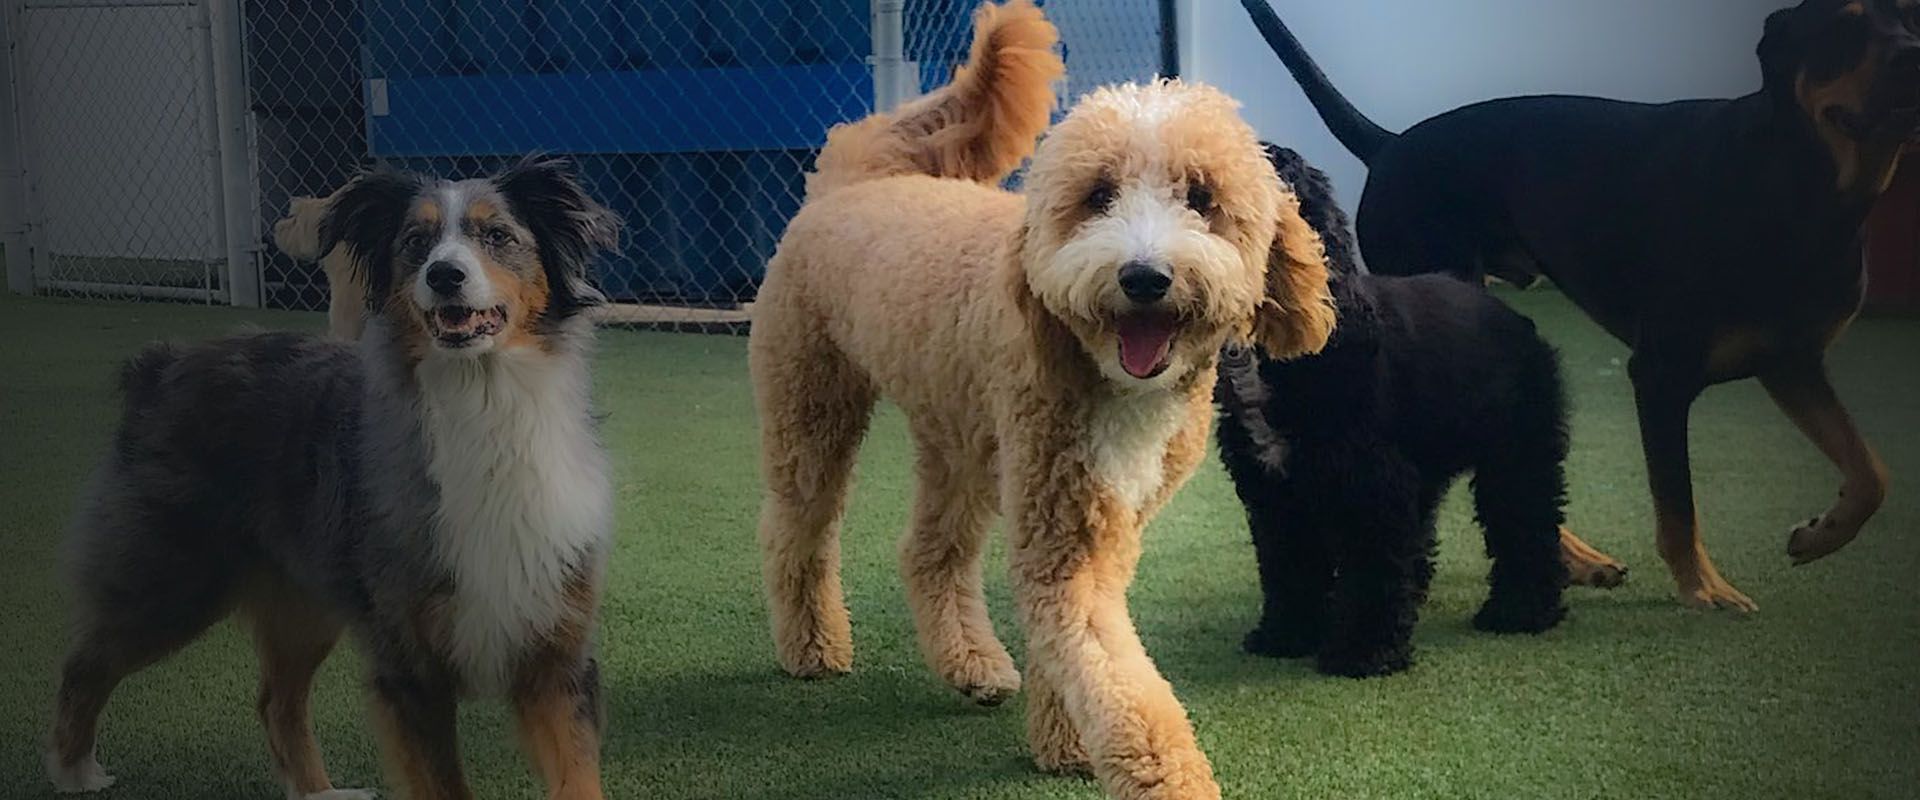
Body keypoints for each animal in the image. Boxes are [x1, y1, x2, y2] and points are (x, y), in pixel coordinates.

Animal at [1213, 143, 1620, 675]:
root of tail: (1515, 320)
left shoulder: (1370, 483)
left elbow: (1371, 569)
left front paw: (1363, 652)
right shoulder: (1274, 490)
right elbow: (1290, 565)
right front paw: (1287, 634)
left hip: (1516, 456)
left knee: (1526, 524)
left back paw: (1521, 611)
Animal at [1244, 0, 1920, 606]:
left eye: (1909, 17)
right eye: (1842, 29)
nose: (1911, 54)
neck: (1796, 183)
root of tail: (1387, 145)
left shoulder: (1792, 363)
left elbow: (1872, 473)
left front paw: (1819, 535)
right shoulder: (1661, 374)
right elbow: (1679, 503)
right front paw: (1704, 589)